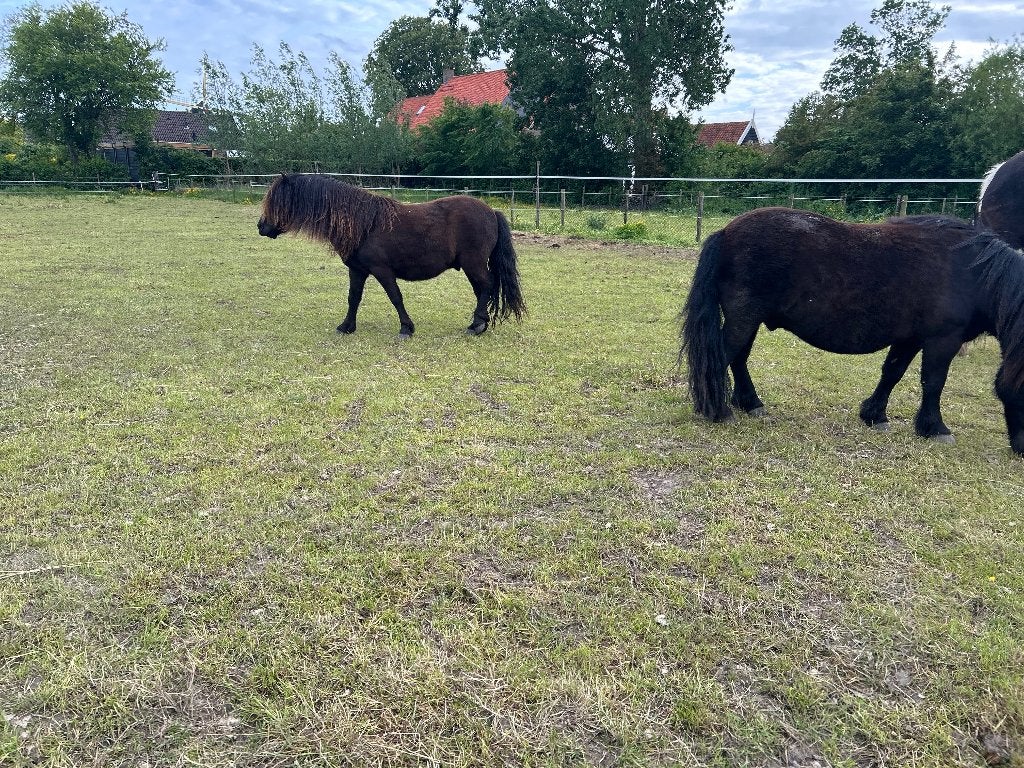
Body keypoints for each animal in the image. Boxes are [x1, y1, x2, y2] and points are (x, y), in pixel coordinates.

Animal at [257, 173, 526, 338]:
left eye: (276, 201)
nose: (261, 227)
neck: (363, 224)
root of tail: (491, 211)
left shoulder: (382, 270)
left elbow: (396, 297)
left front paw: (406, 328)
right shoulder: (357, 270)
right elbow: (353, 298)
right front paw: (346, 326)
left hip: (474, 263)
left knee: (486, 286)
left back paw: (477, 324)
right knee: (483, 289)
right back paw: (479, 323)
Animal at [680, 207, 1024, 457]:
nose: (1021, 451)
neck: (971, 271)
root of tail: (726, 233)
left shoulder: (910, 338)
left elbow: (892, 373)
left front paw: (875, 415)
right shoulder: (942, 339)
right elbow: (933, 382)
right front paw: (935, 428)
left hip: (749, 320)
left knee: (738, 359)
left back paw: (751, 403)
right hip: (743, 318)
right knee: (721, 357)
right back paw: (719, 411)